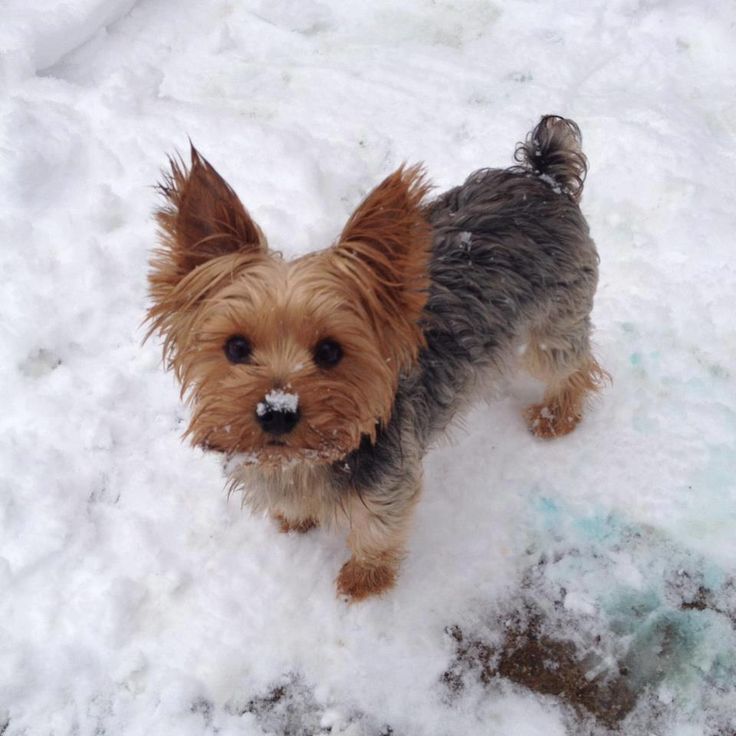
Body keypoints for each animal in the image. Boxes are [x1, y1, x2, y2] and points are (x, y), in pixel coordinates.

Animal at [147, 113, 608, 600]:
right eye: (235, 347)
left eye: (330, 351)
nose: (276, 412)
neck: (309, 458)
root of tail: (543, 176)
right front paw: (295, 519)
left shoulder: (391, 482)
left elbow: (377, 528)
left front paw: (362, 581)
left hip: (555, 320)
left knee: (572, 365)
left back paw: (556, 417)